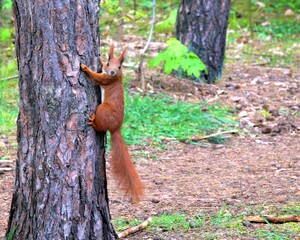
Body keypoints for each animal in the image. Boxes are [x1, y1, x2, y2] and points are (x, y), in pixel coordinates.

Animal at [81, 44, 144, 202]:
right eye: (109, 64)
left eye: (120, 66)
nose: (113, 71)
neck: (117, 77)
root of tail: (116, 128)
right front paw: (101, 60)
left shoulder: (106, 80)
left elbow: (96, 77)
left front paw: (86, 68)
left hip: (102, 109)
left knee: (100, 127)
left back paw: (93, 122)